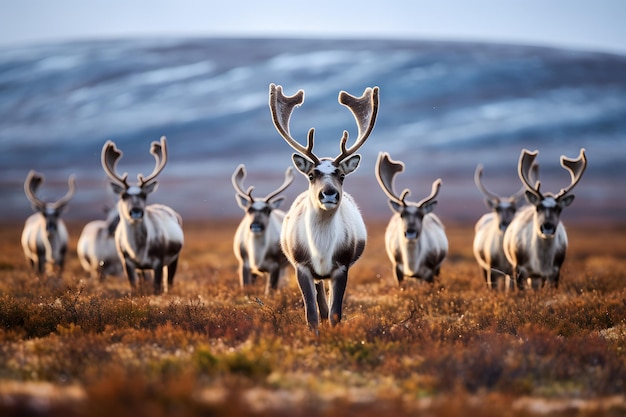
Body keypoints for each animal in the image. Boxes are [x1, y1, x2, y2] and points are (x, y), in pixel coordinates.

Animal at [100, 136, 183, 292]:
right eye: (123, 195)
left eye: (144, 195)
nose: (136, 211)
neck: (138, 250)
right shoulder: (128, 263)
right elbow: (134, 287)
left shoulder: (158, 263)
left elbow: (157, 287)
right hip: (142, 269)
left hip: (173, 260)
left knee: (169, 282)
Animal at [232, 162, 294, 292]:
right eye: (249, 209)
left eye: (268, 210)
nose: (256, 225)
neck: (257, 255)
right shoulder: (244, 265)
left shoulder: (275, 267)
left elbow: (270, 292)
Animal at [266, 81, 376, 328]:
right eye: (311, 175)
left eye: (341, 175)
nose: (329, 194)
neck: (322, 248)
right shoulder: (302, 267)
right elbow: (312, 314)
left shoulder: (341, 268)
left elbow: (335, 313)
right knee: (320, 303)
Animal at [372, 151, 446, 284]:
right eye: (402, 215)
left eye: (421, 216)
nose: (410, 232)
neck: (412, 264)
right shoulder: (397, 268)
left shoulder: (430, 272)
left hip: (438, 268)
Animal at [502, 148, 584, 288]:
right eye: (538, 207)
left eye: (559, 209)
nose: (547, 227)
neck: (542, 263)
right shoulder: (519, 270)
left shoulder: (554, 273)